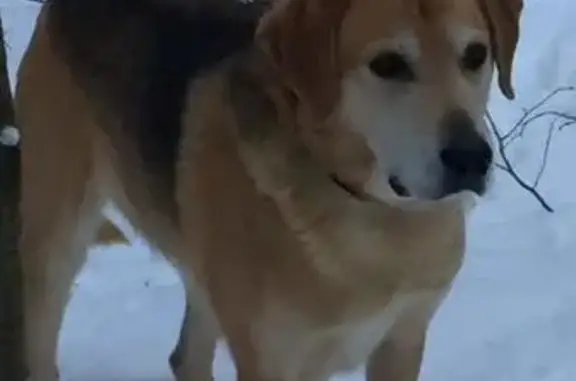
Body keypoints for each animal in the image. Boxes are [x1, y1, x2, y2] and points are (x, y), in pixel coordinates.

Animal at [16, 0, 520, 378]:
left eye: (475, 55)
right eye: (388, 65)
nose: (471, 158)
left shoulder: (403, 339)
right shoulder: (271, 359)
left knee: (187, 356)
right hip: (55, 233)